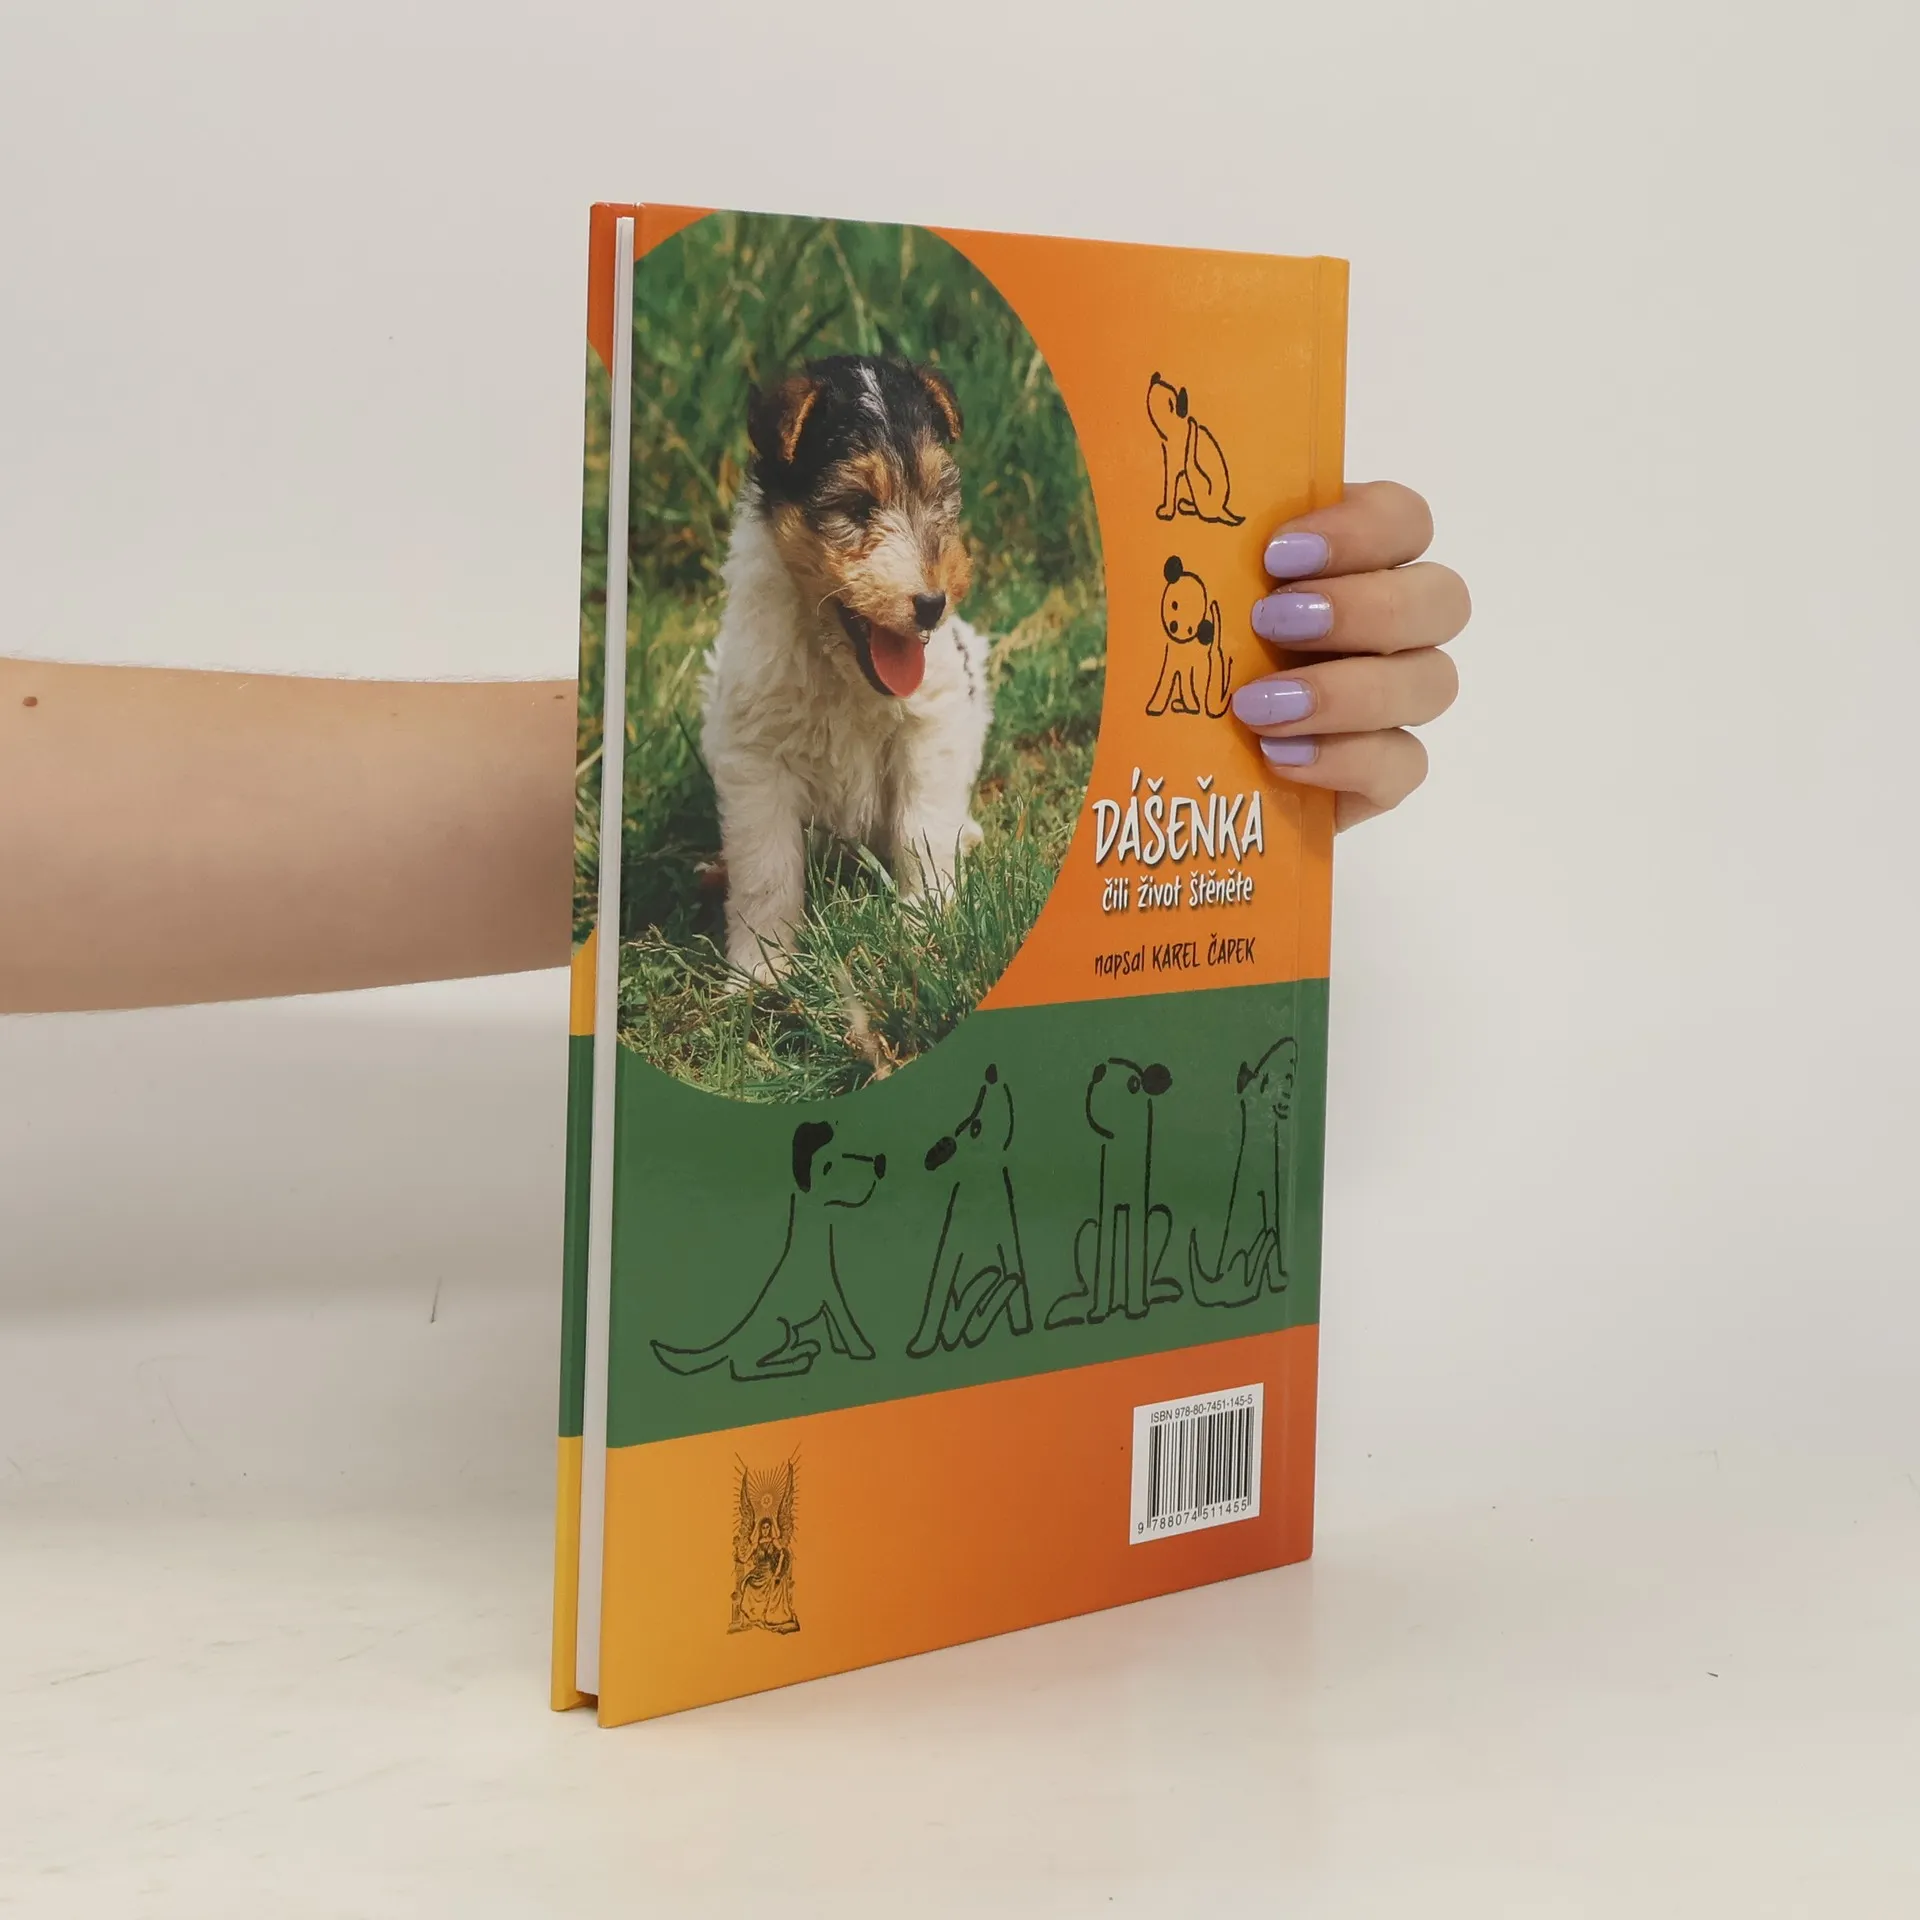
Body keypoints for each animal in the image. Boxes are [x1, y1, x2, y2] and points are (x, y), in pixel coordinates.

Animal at [650, 1120, 885, 1381]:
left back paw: (803, 1348)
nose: (879, 1163)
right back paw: (797, 1361)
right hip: (780, 1327)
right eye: (828, 1166)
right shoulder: (830, 1293)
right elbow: (844, 1321)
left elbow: (835, 1325)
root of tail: (734, 1338)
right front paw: (862, 1350)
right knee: (743, 1365)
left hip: (790, 1331)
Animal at [700, 354, 994, 983]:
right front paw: (762, 968)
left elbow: (921, 830)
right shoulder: (755, 754)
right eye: (857, 506)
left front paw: (925, 923)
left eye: (938, 495)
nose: (932, 603)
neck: (841, 662)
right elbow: (766, 868)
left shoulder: (929, 726)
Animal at [1147, 372, 1244, 525]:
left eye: (1170, 403)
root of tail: (1221, 509)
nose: (1155, 377)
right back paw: (1187, 505)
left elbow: (1170, 487)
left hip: (1195, 473)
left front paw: (1166, 511)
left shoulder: (1174, 460)